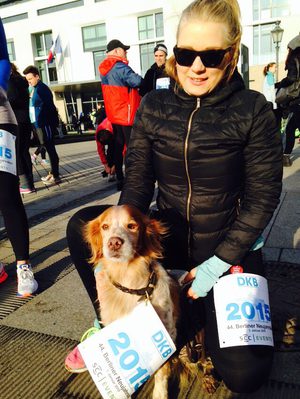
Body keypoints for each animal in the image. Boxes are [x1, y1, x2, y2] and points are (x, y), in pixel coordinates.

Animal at [85, 206, 182, 399]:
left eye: (131, 226)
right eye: (105, 226)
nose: (114, 243)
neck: (128, 278)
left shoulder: (166, 329)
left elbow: (162, 370)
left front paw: (160, 394)